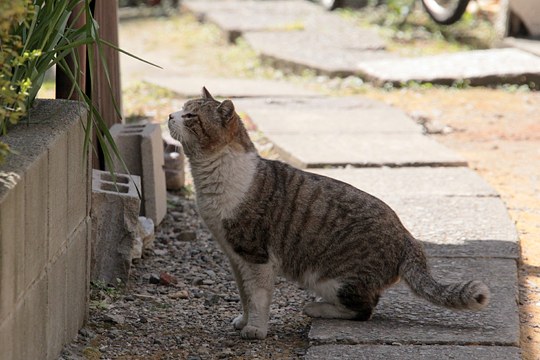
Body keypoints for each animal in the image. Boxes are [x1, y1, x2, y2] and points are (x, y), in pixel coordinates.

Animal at [169, 88, 490, 340]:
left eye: (191, 116)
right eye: (182, 109)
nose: (171, 116)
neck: (210, 179)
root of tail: (408, 236)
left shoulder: (255, 256)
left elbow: (258, 298)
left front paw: (255, 330)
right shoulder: (235, 257)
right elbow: (245, 296)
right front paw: (243, 321)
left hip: (332, 279)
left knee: (365, 309)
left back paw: (316, 307)